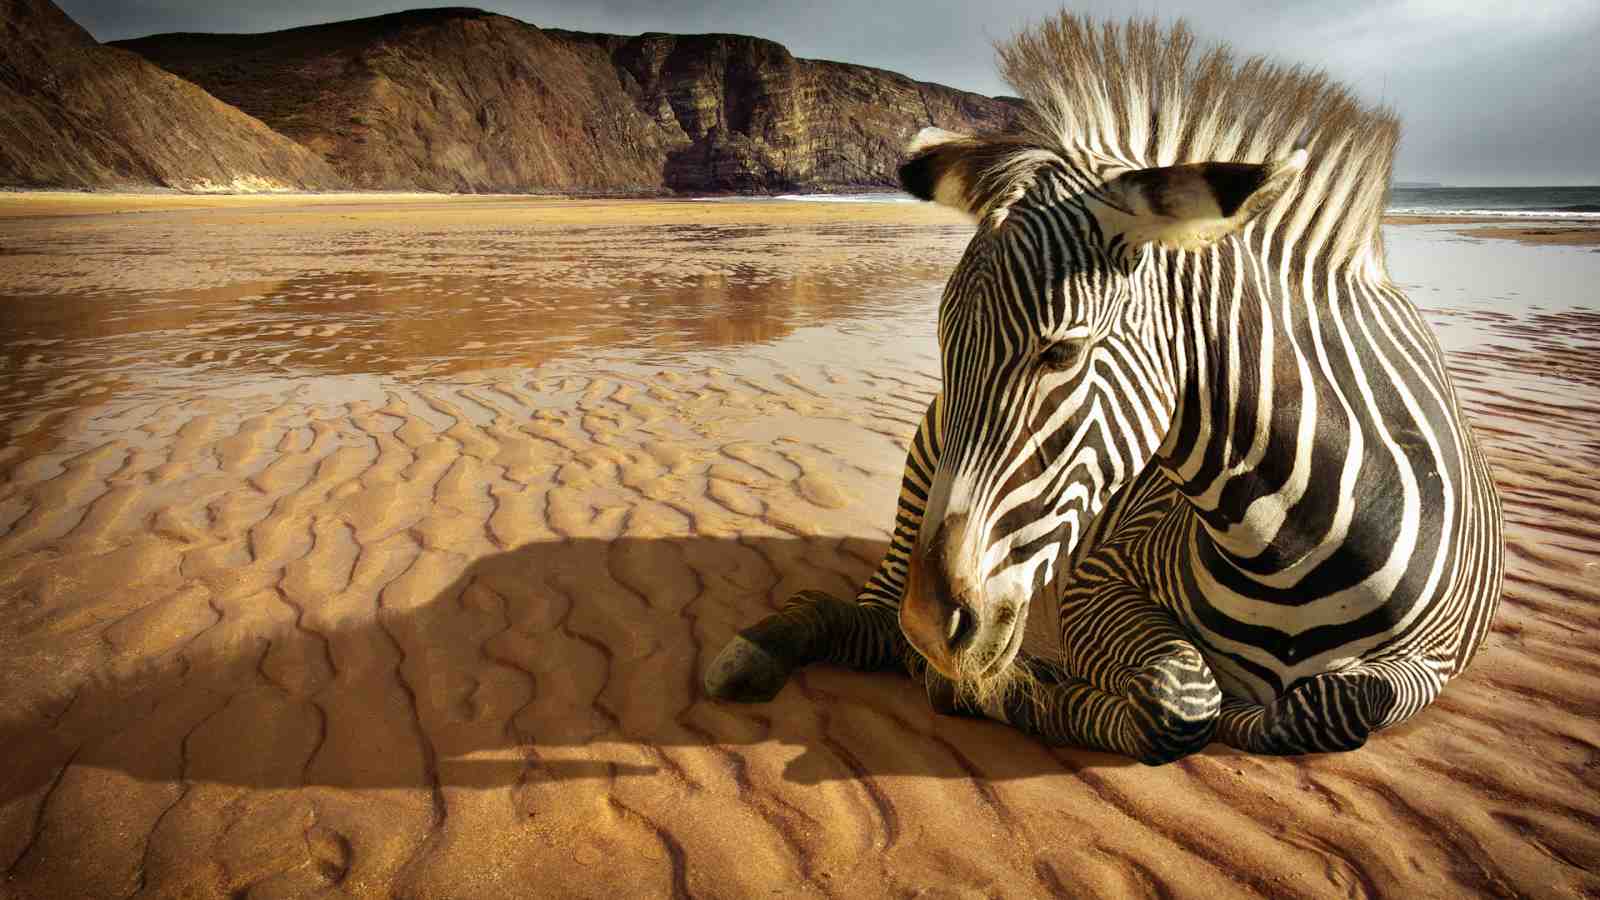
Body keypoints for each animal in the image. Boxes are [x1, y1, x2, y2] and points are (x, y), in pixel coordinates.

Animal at [704, 14, 1504, 763]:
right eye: (944, 345)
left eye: (1061, 351)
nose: (933, 627)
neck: (1291, 544)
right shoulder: (1100, 580)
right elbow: (1182, 698)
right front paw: (1011, 690)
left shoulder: (1434, 662)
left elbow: (1334, 705)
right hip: (924, 472)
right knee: (871, 618)